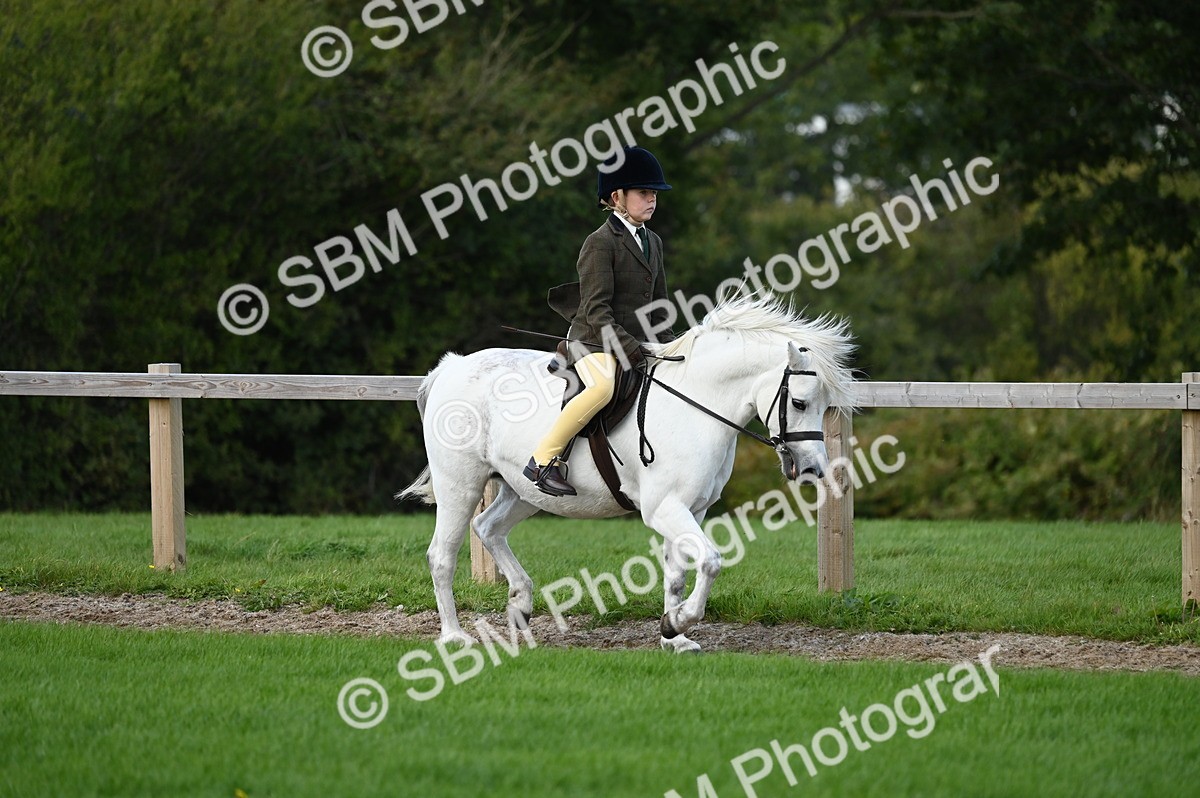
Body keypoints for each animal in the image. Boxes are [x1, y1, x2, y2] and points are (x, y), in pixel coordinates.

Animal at [398, 293, 856, 653]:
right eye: (799, 403)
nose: (813, 468)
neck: (697, 404)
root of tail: (451, 367)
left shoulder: (691, 509)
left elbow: (676, 573)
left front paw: (674, 636)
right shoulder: (665, 508)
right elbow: (710, 561)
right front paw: (681, 621)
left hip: (522, 490)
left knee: (488, 527)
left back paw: (520, 605)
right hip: (460, 484)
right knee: (442, 555)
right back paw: (454, 636)